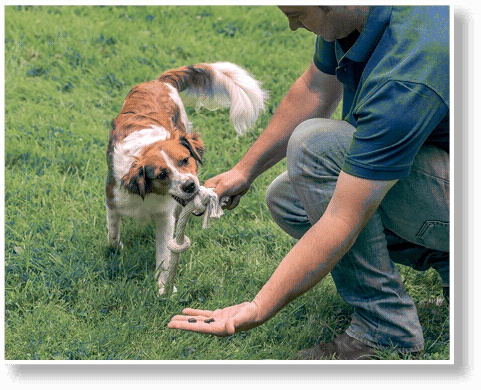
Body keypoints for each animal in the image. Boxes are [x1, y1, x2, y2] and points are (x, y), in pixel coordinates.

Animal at [104, 61, 266, 292]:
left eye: (185, 160)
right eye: (162, 174)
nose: (190, 185)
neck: (148, 194)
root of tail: (159, 81)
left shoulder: (164, 217)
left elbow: (165, 252)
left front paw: (163, 285)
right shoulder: (113, 200)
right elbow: (113, 232)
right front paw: (117, 248)